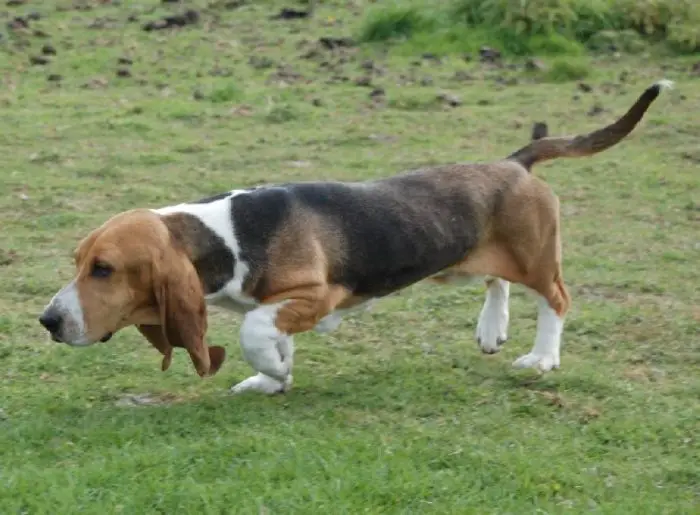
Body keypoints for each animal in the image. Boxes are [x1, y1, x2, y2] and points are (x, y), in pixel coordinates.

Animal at [38, 80, 672, 396]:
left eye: (104, 269)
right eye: (78, 261)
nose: (48, 321)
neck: (226, 234)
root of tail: (513, 163)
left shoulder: (316, 295)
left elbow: (253, 330)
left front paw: (271, 370)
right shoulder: (283, 302)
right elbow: (272, 339)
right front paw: (271, 378)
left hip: (536, 256)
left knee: (556, 299)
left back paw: (541, 358)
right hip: (477, 254)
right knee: (496, 280)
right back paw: (492, 328)